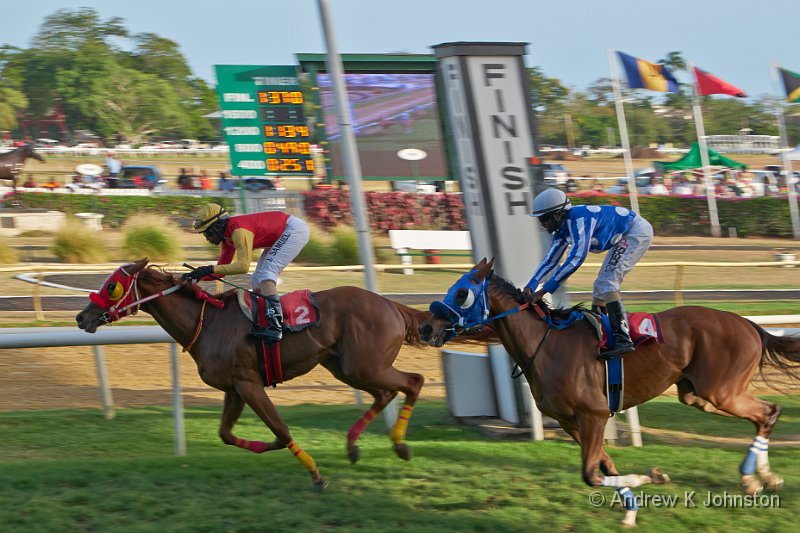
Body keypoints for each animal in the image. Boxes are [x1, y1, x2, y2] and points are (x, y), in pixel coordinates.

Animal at [77, 260, 434, 488]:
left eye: (112, 286)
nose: (82, 317)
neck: (207, 323)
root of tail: (391, 305)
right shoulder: (233, 389)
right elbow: (228, 434)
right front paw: (267, 447)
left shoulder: (248, 383)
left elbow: (282, 430)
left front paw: (316, 475)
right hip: (346, 367)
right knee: (386, 393)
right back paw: (356, 446)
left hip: (365, 365)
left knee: (413, 381)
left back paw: (399, 446)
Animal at [418, 258, 800, 528]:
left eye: (462, 293)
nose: (425, 326)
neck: (546, 344)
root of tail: (748, 324)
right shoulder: (571, 421)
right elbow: (606, 466)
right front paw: (632, 508)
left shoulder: (595, 414)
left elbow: (591, 474)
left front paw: (651, 476)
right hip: (699, 395)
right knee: (766, 413)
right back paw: (762, 477)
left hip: (720, 391)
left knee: (769, 412)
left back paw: (753, 479)